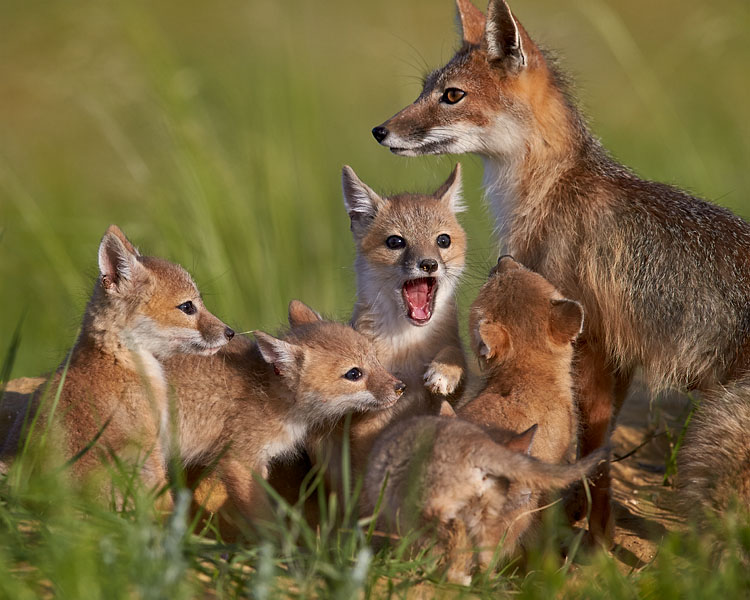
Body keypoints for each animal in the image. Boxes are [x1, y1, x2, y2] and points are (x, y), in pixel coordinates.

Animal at [165, 300, 406, 525]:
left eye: (375, 359)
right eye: (354, 374)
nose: (401, 387)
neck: (270, 393)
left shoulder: (260, 464)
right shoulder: (238, 462)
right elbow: (268, 522)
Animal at [363, 415, 605, 585]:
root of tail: (478, 445)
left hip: (432, 508)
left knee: (453, 535)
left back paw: (451, 576)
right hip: (482, 520)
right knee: (483, 557)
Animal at [372, 0, 750, 539]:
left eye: (452, 96)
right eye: (424, 87)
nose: (381, 130)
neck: (552, 190)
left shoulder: (591, 343)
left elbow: (593, 448)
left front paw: (596, 537)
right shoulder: (616, 355)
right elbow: (600, 446)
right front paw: (582, 519)